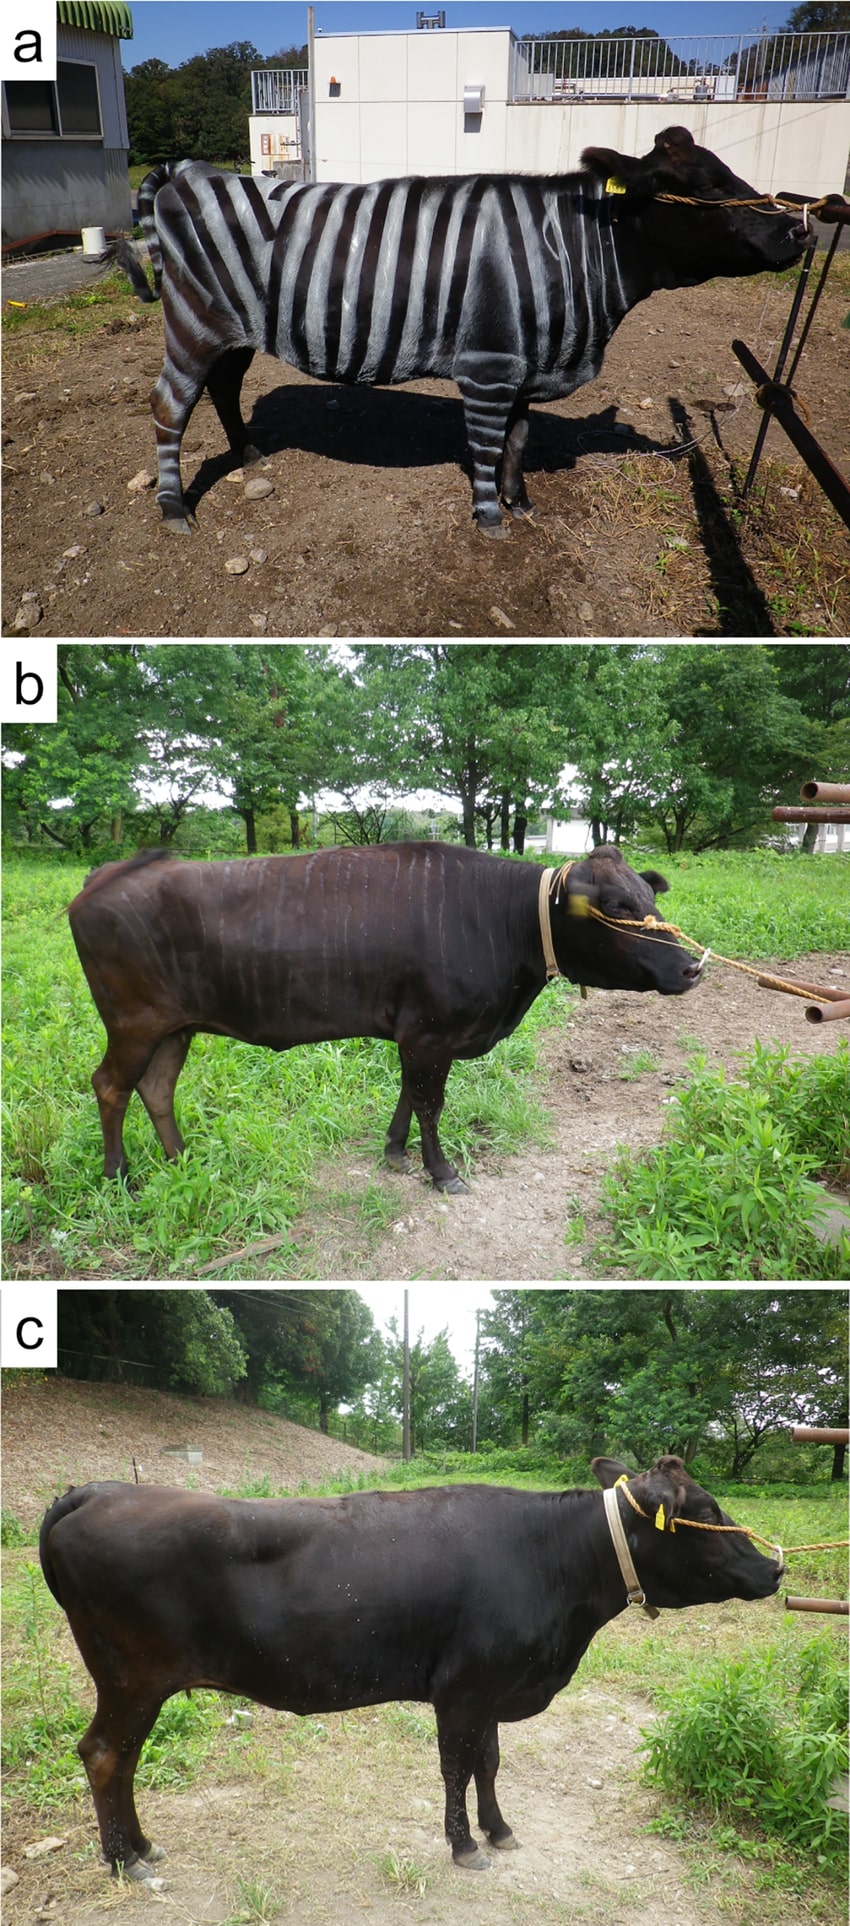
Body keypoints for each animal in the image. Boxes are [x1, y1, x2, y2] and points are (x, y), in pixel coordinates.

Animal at [118, 128, 805, 536]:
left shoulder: (527, 363)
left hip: (235, 329)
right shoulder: (489, 365)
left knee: (224, 388)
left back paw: (249, 454)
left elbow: (518, 440)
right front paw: (490, 519)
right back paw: (175, 511)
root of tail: (190, 170)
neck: (569, 252)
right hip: (195, 322)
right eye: (705, 188)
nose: (799, 230)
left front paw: (520, 502)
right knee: (170, 404)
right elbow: (485, 445)